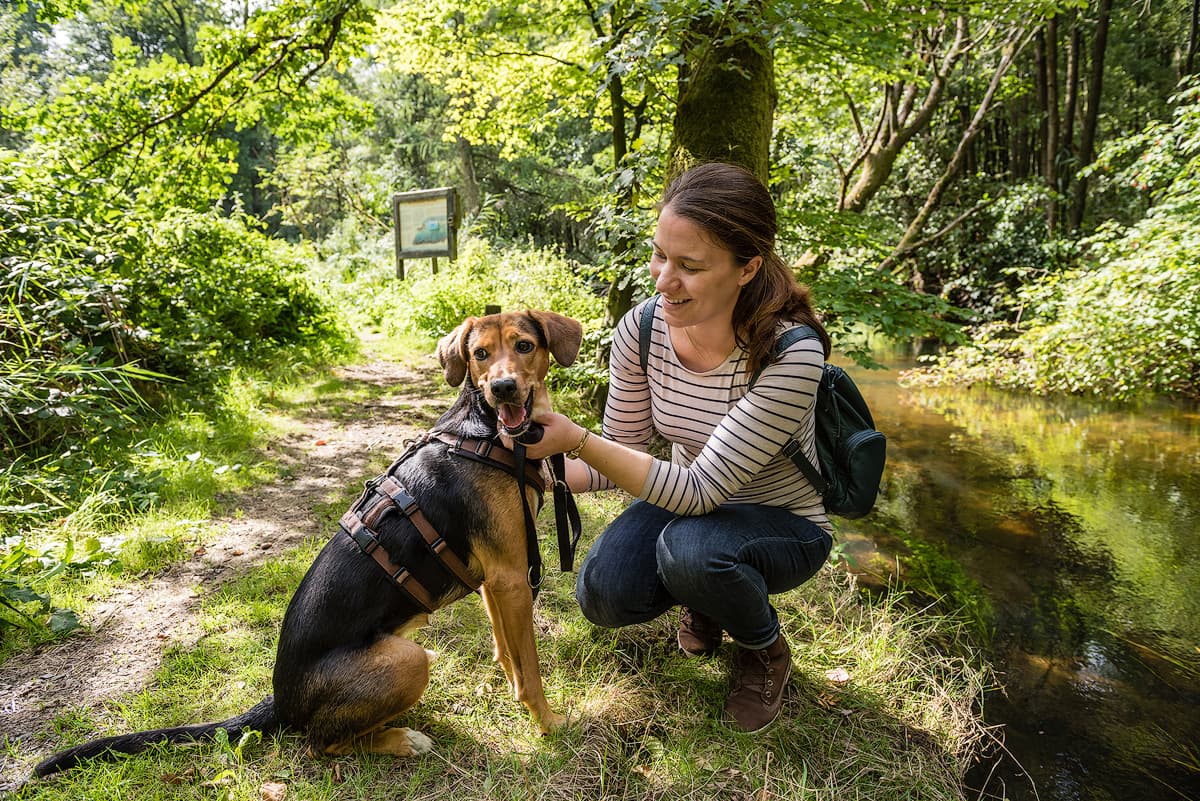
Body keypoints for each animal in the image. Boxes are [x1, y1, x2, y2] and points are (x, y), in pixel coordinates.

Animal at [32, 309, 580, 777]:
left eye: (525, 345)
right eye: (480, 355)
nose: (503, 388)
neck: (486, 431)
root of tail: (280, 699)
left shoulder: (497, 577)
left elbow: (508, 653)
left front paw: (512, 693)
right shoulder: (511, 577)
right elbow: (531, 669)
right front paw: (549, 724)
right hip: (409, 659)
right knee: (320, 743)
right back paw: (402, 739)